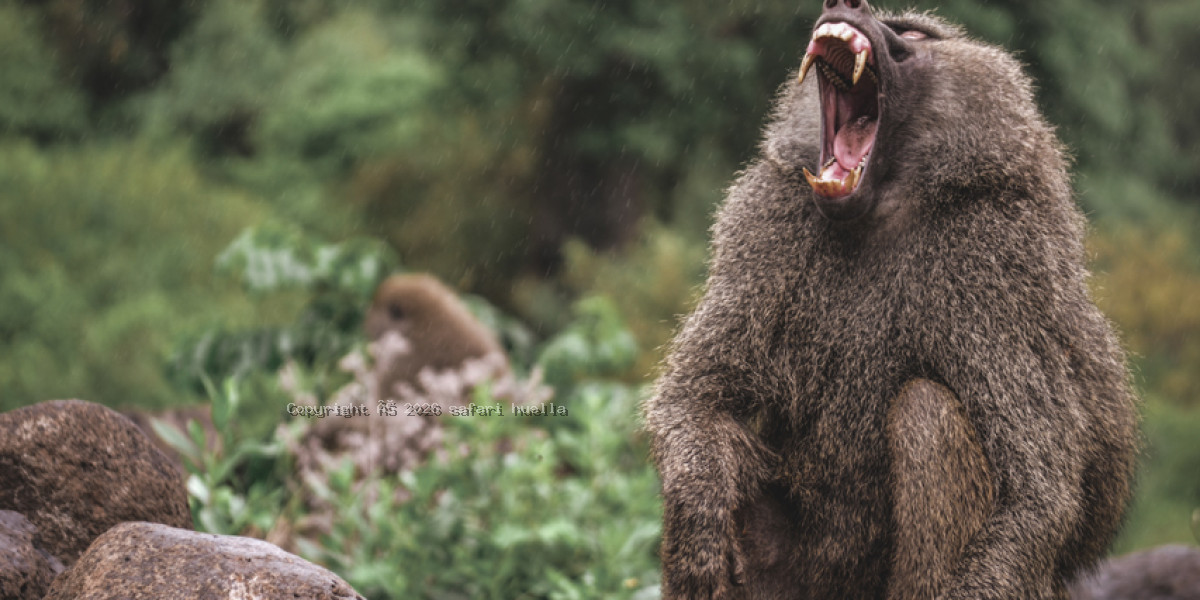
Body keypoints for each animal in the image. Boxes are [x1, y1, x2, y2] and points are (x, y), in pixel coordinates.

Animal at [643, 2, 1139, 599]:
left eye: (910, 33)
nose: (845, 5)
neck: (885, 208)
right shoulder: (766, 219)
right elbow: (698, 398)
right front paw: (700, 531)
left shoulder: (1000, 256)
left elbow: (1037, 493)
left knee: (926, 412)